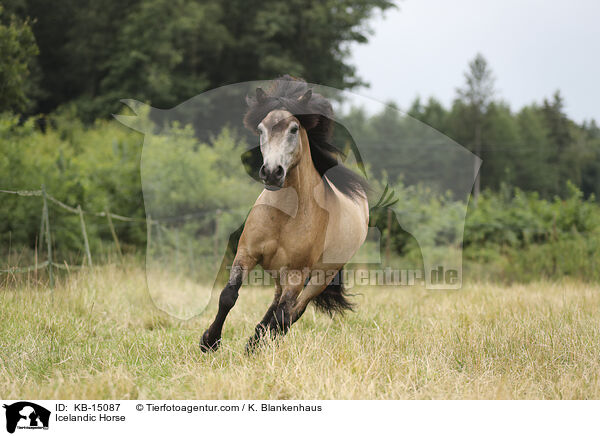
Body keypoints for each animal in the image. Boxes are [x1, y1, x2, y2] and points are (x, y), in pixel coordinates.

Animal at [200, 76, 370, 352]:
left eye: (293, 129)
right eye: (261, 129)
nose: (272, 172)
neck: (284, 216)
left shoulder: (297, 274)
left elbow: (282, 317)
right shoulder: (246, 254)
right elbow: (228, 296)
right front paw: (209, 341)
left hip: (319, 278)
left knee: (291, 313)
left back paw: (257, 344)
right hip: (281, 274)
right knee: (277, 306)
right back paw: (252, 345)